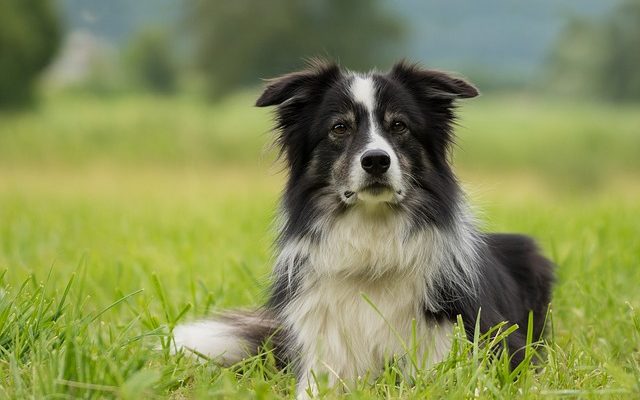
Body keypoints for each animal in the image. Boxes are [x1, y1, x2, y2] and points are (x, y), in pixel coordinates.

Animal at [171, 61, 556, 398]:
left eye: (399, 126)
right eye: (340, 128)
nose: (376, 161)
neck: (373, 248)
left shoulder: (472, 347)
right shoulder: (324, 359)